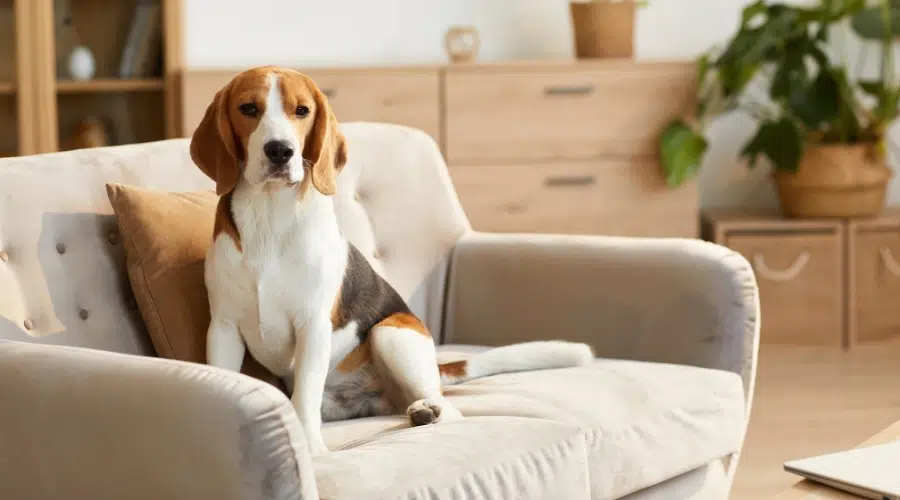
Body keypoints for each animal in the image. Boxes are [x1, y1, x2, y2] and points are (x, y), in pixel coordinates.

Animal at [189, 65, 596, 454]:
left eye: (301, 111)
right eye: (248, 108)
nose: (280, 150)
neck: (270, 215)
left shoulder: (313, 325)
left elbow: (304, 394)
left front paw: (312, 447)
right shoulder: (223, 327)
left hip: (391, 333)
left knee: (449, 408)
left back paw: (428, 411)